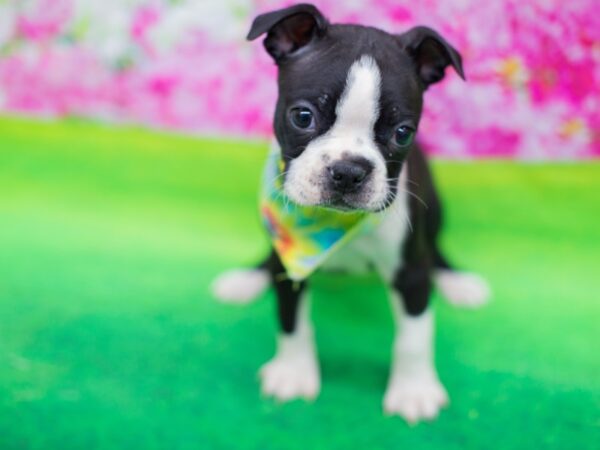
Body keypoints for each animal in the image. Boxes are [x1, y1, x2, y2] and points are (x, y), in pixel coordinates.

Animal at [211, 3, 488, 424]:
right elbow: (291, 320)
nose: (348, 171)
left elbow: (415, 335)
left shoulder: (410, 272)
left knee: (436, 246)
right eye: (303, 116)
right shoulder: (291, 261)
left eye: (403, 133)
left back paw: (457, 282)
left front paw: (414, 391)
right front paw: (293, 373)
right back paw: (247, 279)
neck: (332, 225)